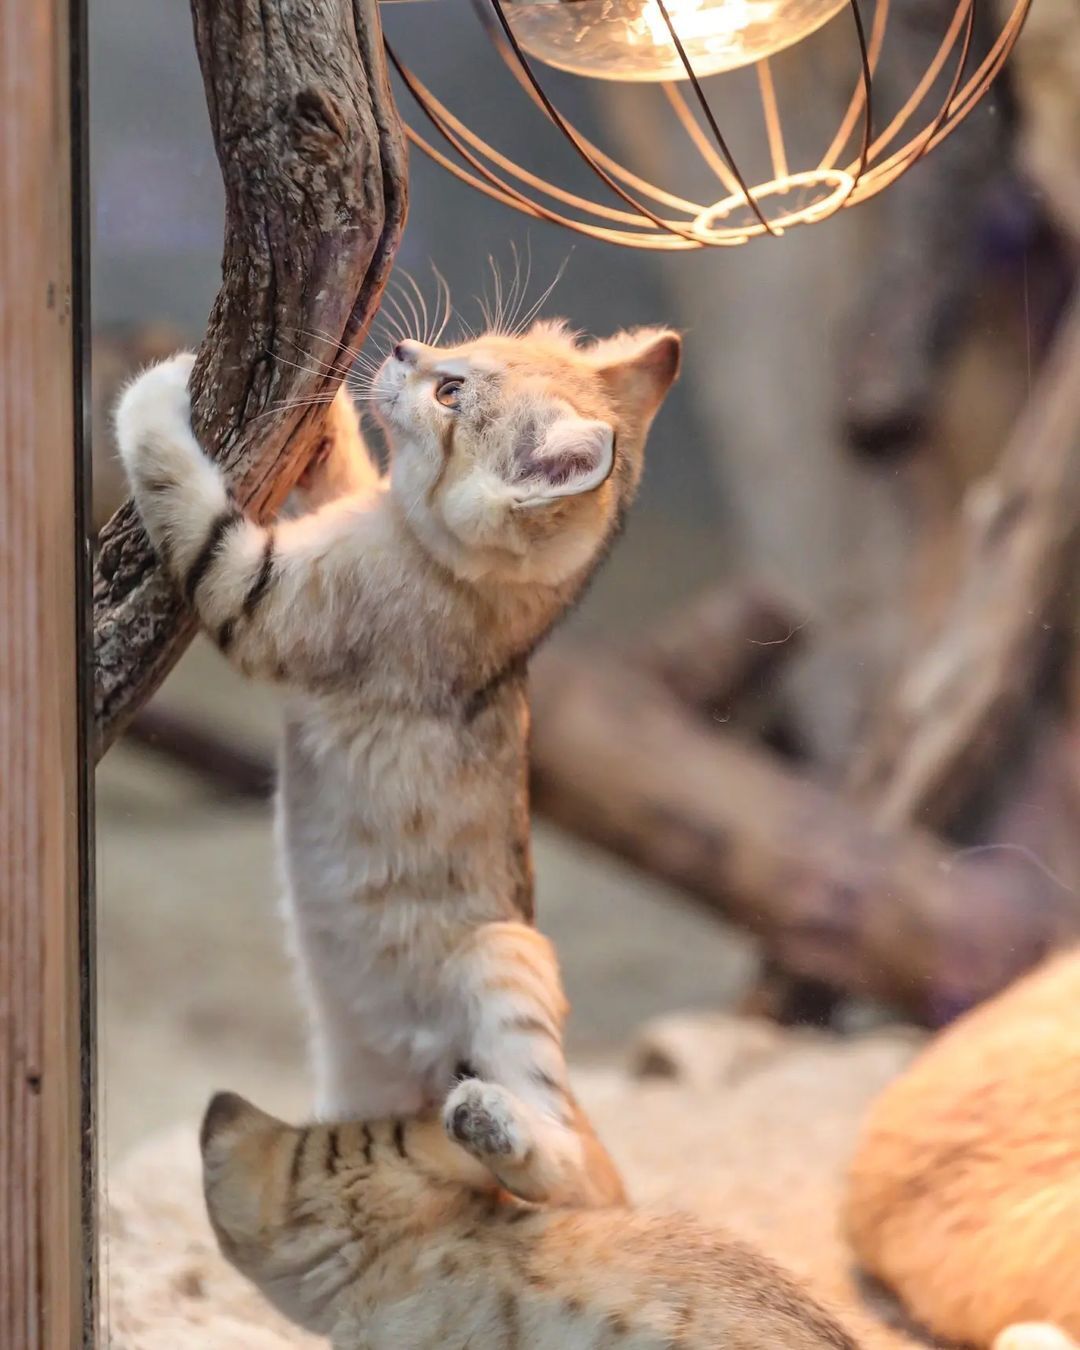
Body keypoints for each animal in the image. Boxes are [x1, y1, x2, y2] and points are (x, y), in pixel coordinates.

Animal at [116, 318, 675, 1215]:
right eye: (469, 344)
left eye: (451, 393)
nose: (407, 351)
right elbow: (347, 473)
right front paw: (324, 422)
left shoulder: (262, 595)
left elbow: (187, 497)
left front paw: (153, 392)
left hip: (504, 960)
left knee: (583, 1174)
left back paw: (497, 1122)